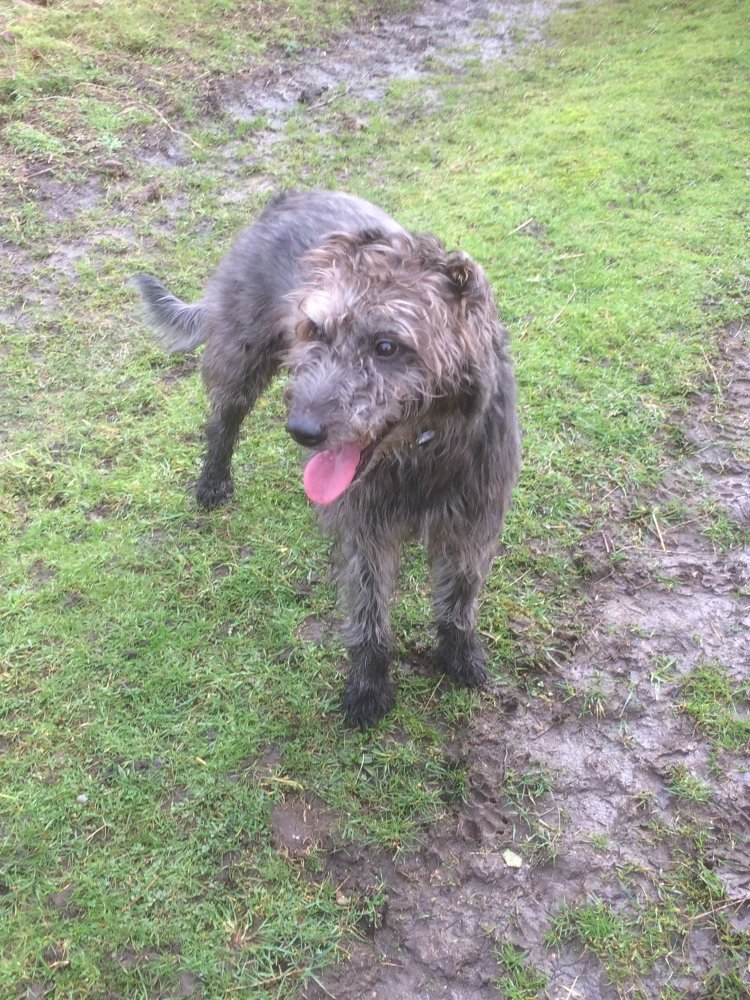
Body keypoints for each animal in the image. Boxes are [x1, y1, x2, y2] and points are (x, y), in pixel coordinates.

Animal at [133, 190, 521, 727]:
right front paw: (368, 688)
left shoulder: (474, 520)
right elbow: (369, 614)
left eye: (387, 346)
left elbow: (460, 597)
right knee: (223, 420)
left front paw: (459, 655)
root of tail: (288, 196)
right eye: (315, 330)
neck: (423, 450)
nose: (302, 431)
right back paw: (213, 481)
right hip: (242, 355)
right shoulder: (365, 531)